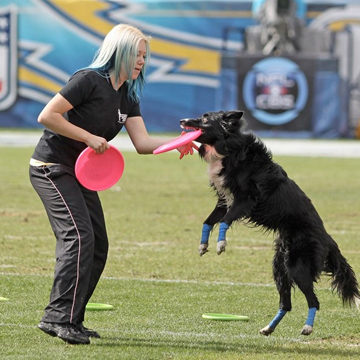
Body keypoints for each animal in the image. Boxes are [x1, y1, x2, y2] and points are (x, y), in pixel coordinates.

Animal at [180, 111, 360, 336]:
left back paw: (307, 327)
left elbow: (225, 220)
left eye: (205, 119)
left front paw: (221, 244)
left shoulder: (245, 199)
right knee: (286, 303)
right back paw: (268, 328)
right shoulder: (224, 199)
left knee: (314, 301)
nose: (182, 121)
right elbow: (209, 221)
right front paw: (203, 245)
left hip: (298, 265)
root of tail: (328, 238)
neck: (230, 148)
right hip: (280, 267)